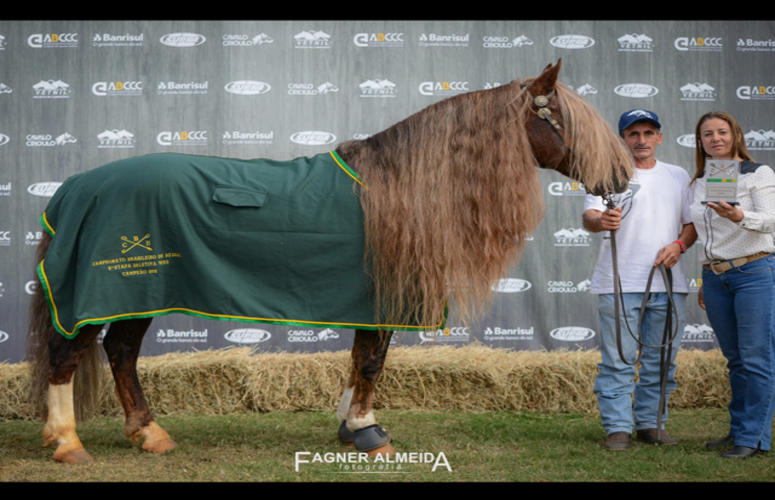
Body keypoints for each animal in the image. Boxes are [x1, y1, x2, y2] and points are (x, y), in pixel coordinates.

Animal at [27, 60, 632, 462]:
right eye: (564, 119)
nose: (623, 176)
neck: (402, 187)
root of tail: (76, 187)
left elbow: (363, 359)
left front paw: (350, 425)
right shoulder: (383, 298)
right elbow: (370, 362)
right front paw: (367, 431)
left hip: (140, 293)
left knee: (122, 353)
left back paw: (149, 434)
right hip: (103, 293)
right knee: (67, 354)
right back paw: (67, 442)